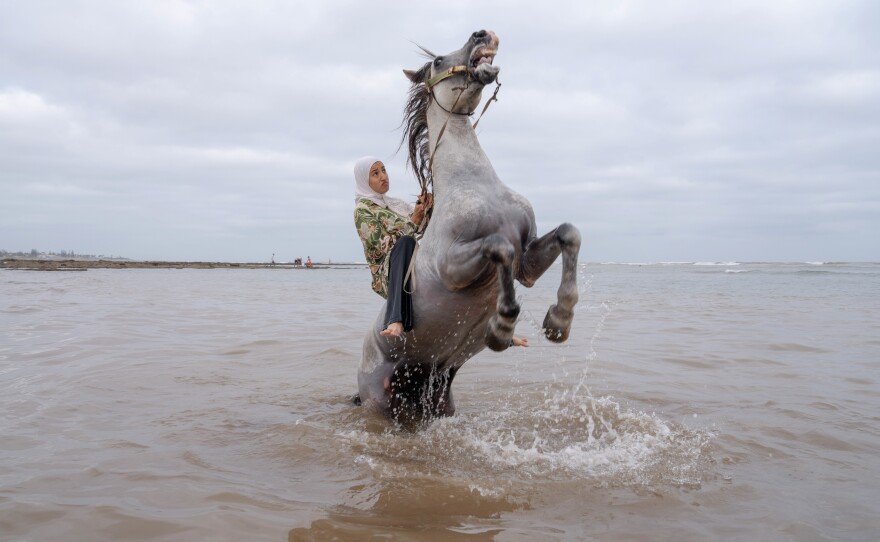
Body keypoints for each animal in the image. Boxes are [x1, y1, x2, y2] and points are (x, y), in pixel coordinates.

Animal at [357, 29, 581, 423]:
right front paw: (502, 328)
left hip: (437, 395)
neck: (473, 182)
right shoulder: (453, 266)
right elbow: (499, 248)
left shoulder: (527, 263)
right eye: (436, 61)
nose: (482, 35)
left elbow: (569, 233)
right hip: (379, 403)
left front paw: (559, 321)